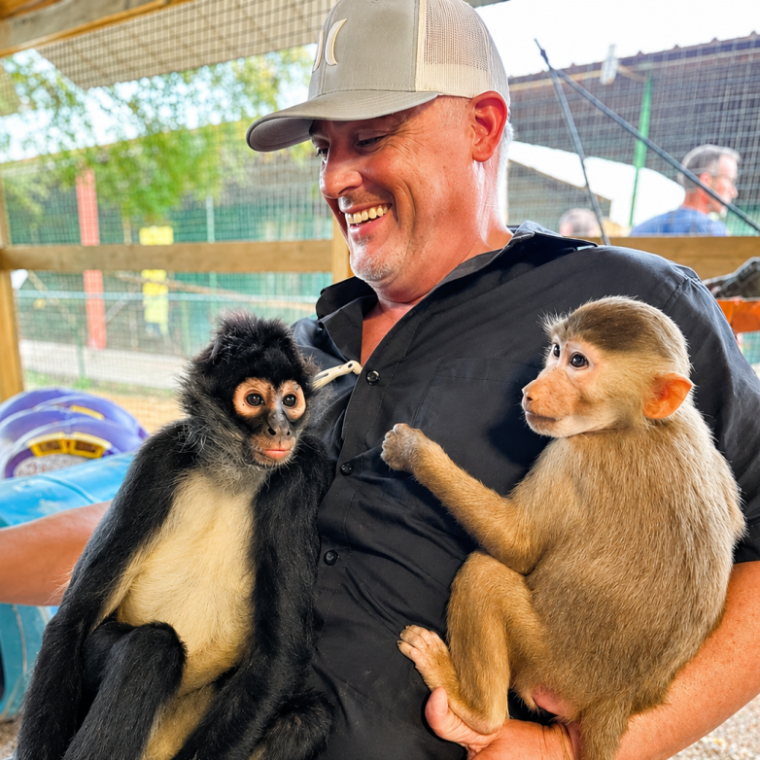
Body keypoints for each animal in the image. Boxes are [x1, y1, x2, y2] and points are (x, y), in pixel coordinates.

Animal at [14, 312, 334, 760]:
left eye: (290, 401)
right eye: (255, 400)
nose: (280, 428)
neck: (230, 477)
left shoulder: (299, 475)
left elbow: (279, 658)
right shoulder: (158, 459)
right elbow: (72, 620)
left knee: (306, 719)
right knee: (151, 647)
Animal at [381, 296, 746, 760]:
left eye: (578, 362)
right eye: (556, 352)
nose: (531, 389)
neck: (641, 422)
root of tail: (617, 699)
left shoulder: (573, 455)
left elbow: (516, 545)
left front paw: (414, 453)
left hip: (546, 660)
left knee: (484, 576)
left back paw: (474, 709)